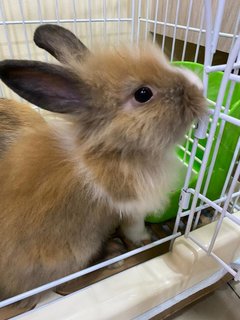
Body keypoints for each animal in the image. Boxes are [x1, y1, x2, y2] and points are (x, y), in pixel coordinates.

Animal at [0, 23, 206, 308]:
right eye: (143, 94)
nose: (199, 86)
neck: (113, 149)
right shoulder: (132, 206)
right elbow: (134, 227)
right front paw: (143, 239)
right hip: (75, 251)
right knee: (65, 284)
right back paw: (111, 254)